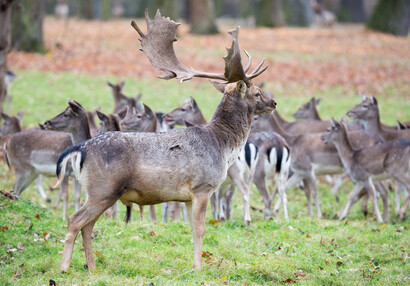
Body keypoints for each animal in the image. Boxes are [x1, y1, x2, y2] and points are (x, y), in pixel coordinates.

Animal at [53, 9, 272, 272]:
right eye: (257, 93)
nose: (273, 103)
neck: (222, 146)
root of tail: (81, 148)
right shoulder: (202, 187)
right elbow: (200, 229)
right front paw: (198, 268)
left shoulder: (187, 196)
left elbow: (191, 229)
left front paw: (194, 264)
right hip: (102, 188)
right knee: (75, 220)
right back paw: (64, 267)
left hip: (100, 192)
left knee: (87, 225)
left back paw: (92, 267)